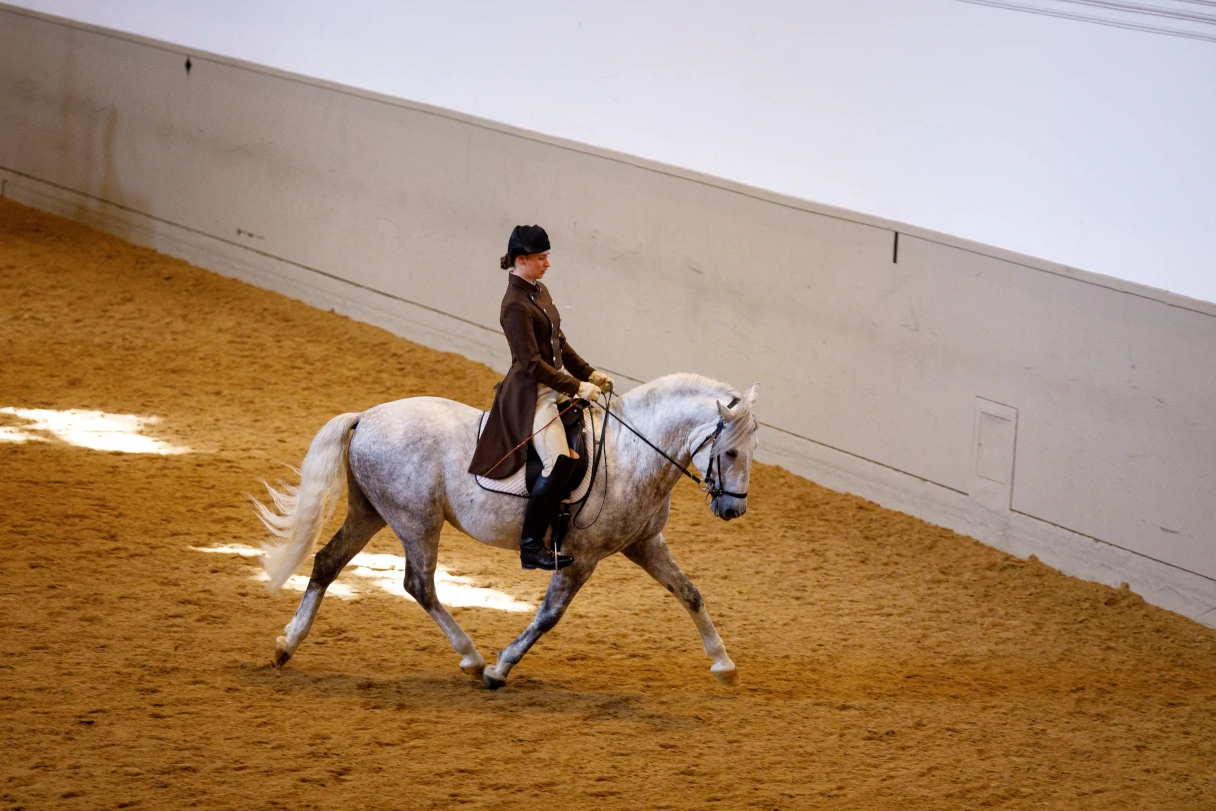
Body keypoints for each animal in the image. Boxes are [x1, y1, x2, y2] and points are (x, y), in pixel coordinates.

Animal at [252, 372, 753, 690]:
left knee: (328, 562)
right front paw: (500, 669)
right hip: (417, 521)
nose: (733, 510)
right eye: (729, 452)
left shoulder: (644, 543)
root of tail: (368, 416)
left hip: (371, 512)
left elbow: (690, 593)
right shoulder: (582, 557)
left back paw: (286, 645)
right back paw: (473, 659)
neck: (632, 453)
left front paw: (725, 664)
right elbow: (548, 617)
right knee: (419, 585)